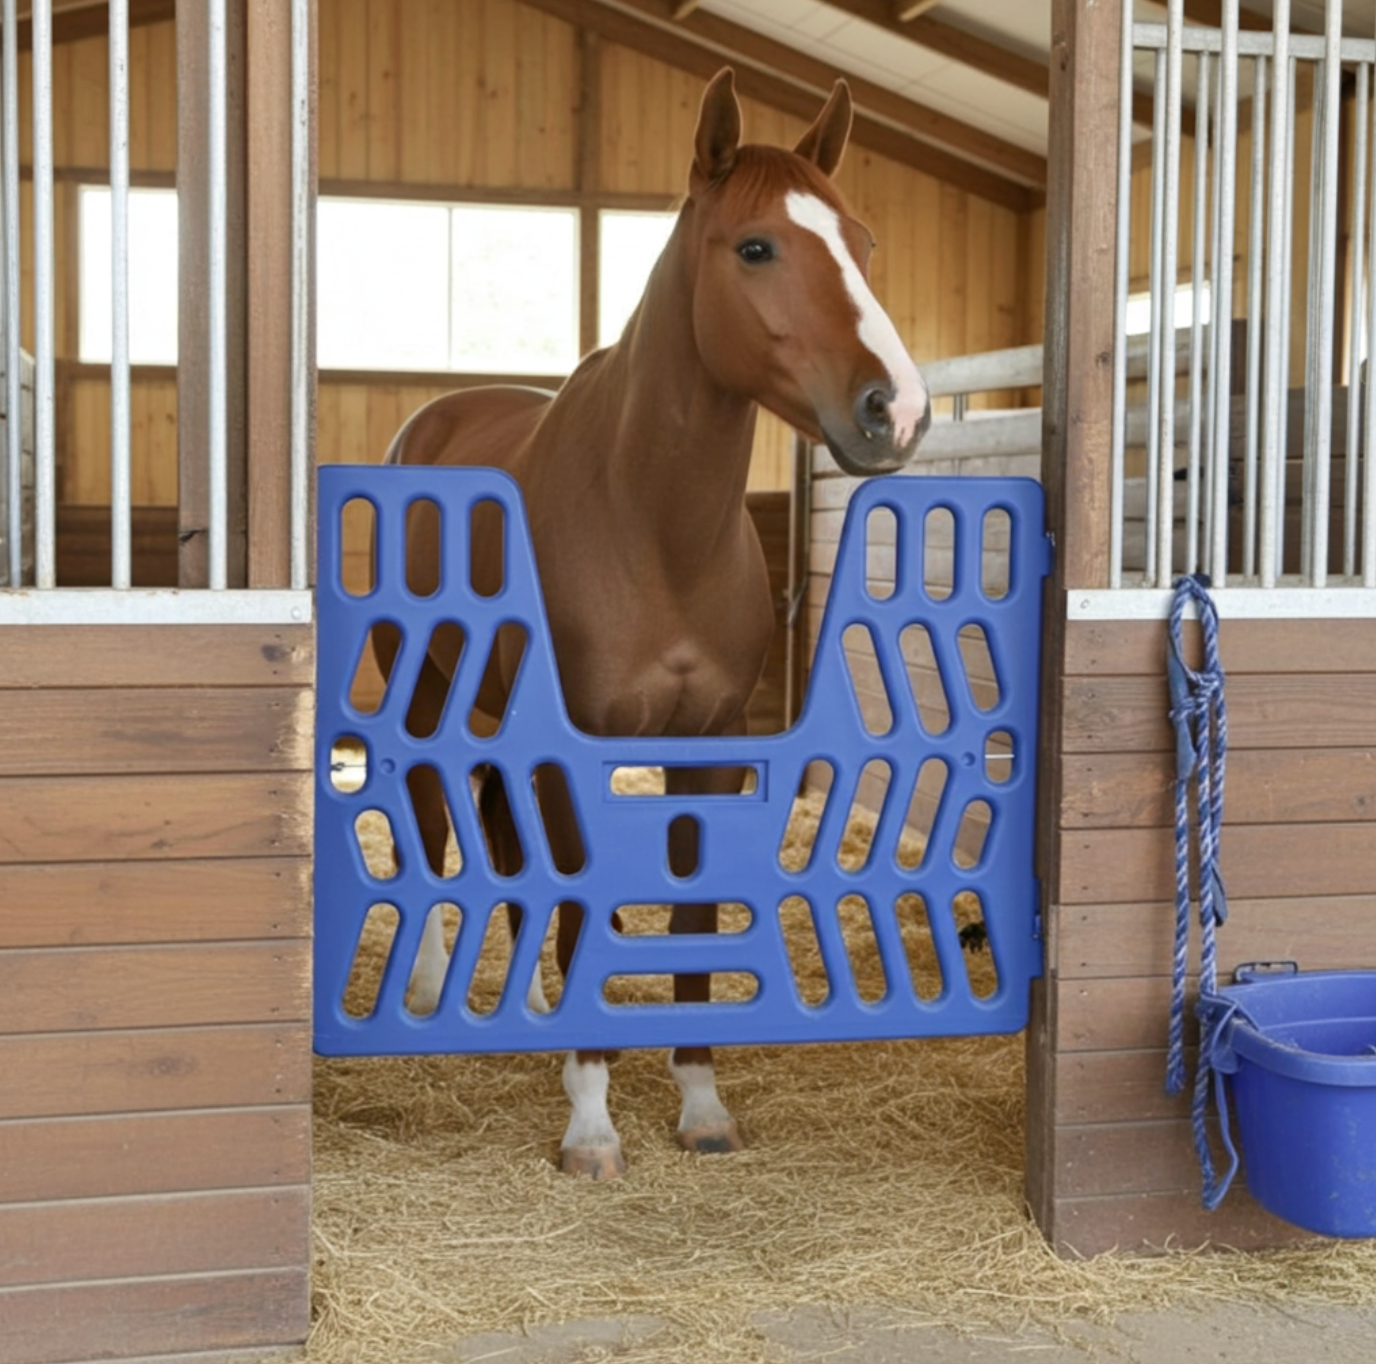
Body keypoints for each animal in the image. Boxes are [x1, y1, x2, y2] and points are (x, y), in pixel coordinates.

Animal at [377, 68, 932, 1179]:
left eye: (860, 241)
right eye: (754, 247)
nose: (895, 409)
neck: (649, 523)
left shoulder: (706, 743)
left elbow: (688, 910)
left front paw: (699, 1099)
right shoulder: (575, 745)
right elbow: (583, 904)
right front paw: (591, 1121)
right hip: (425, 702)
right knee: (433, 819)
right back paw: (429, 991)